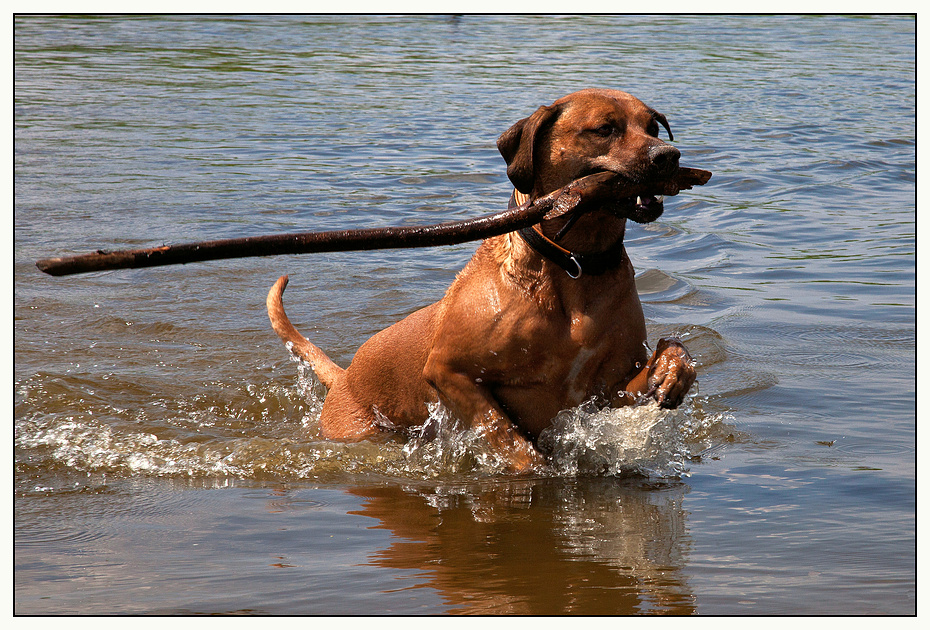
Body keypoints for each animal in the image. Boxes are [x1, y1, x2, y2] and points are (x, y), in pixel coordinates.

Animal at [264, 90, 692, 474]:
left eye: (654, 127)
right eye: (605, 129)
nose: (669, 156)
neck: (575, 268)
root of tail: (344, 378)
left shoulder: (608, 389)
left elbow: (673, 350)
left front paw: (673, 372)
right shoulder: (449, 372)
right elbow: (509, 439)